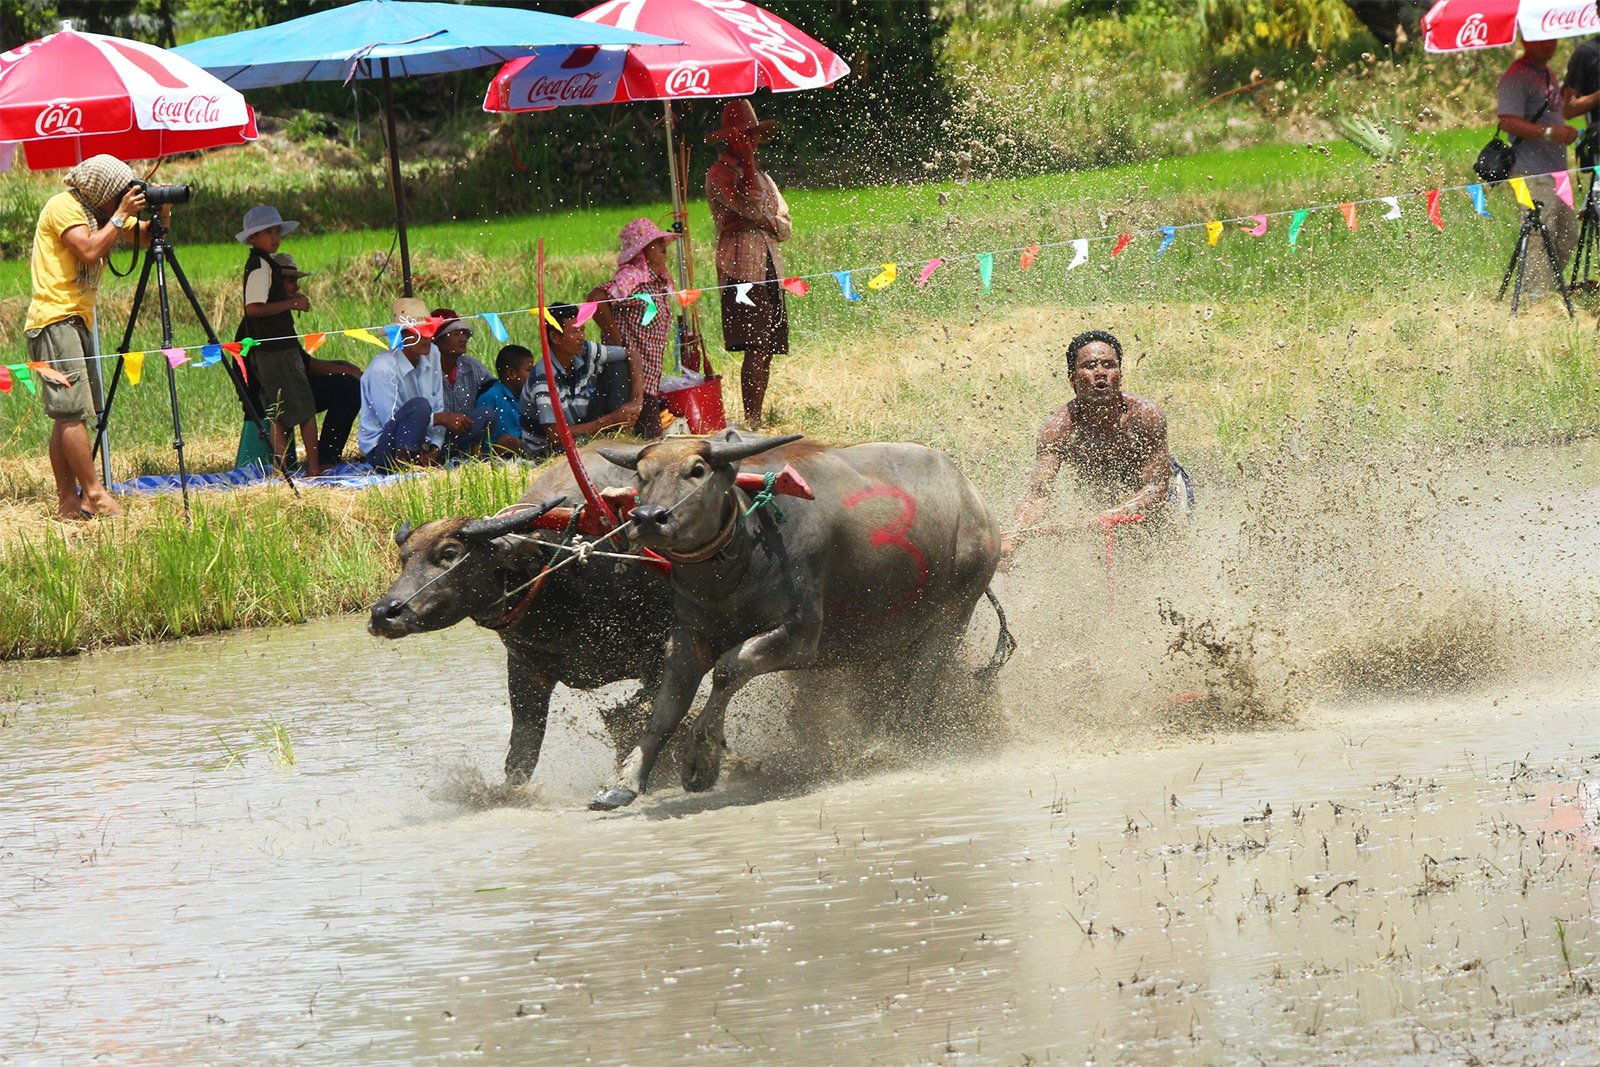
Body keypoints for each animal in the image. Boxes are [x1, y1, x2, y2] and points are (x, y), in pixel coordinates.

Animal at [368, 447, 675, 783]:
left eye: (449, 553)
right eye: (404, 558)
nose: (383, 613)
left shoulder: (659, 653)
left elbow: (639, 715)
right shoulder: (525, 671)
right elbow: (522, 754)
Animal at [588, 428, 1011, 809]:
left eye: (697, 470)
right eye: (642, 474)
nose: (648, 517)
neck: (737, 561)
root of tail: (976, 503)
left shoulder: (799, 637)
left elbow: (728, 669)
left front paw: (700, 761)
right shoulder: (689, 636)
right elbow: (666, 706)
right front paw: (623, 783)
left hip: (954, 612)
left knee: (922, 682)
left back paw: (894, 746)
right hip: (884, 634)